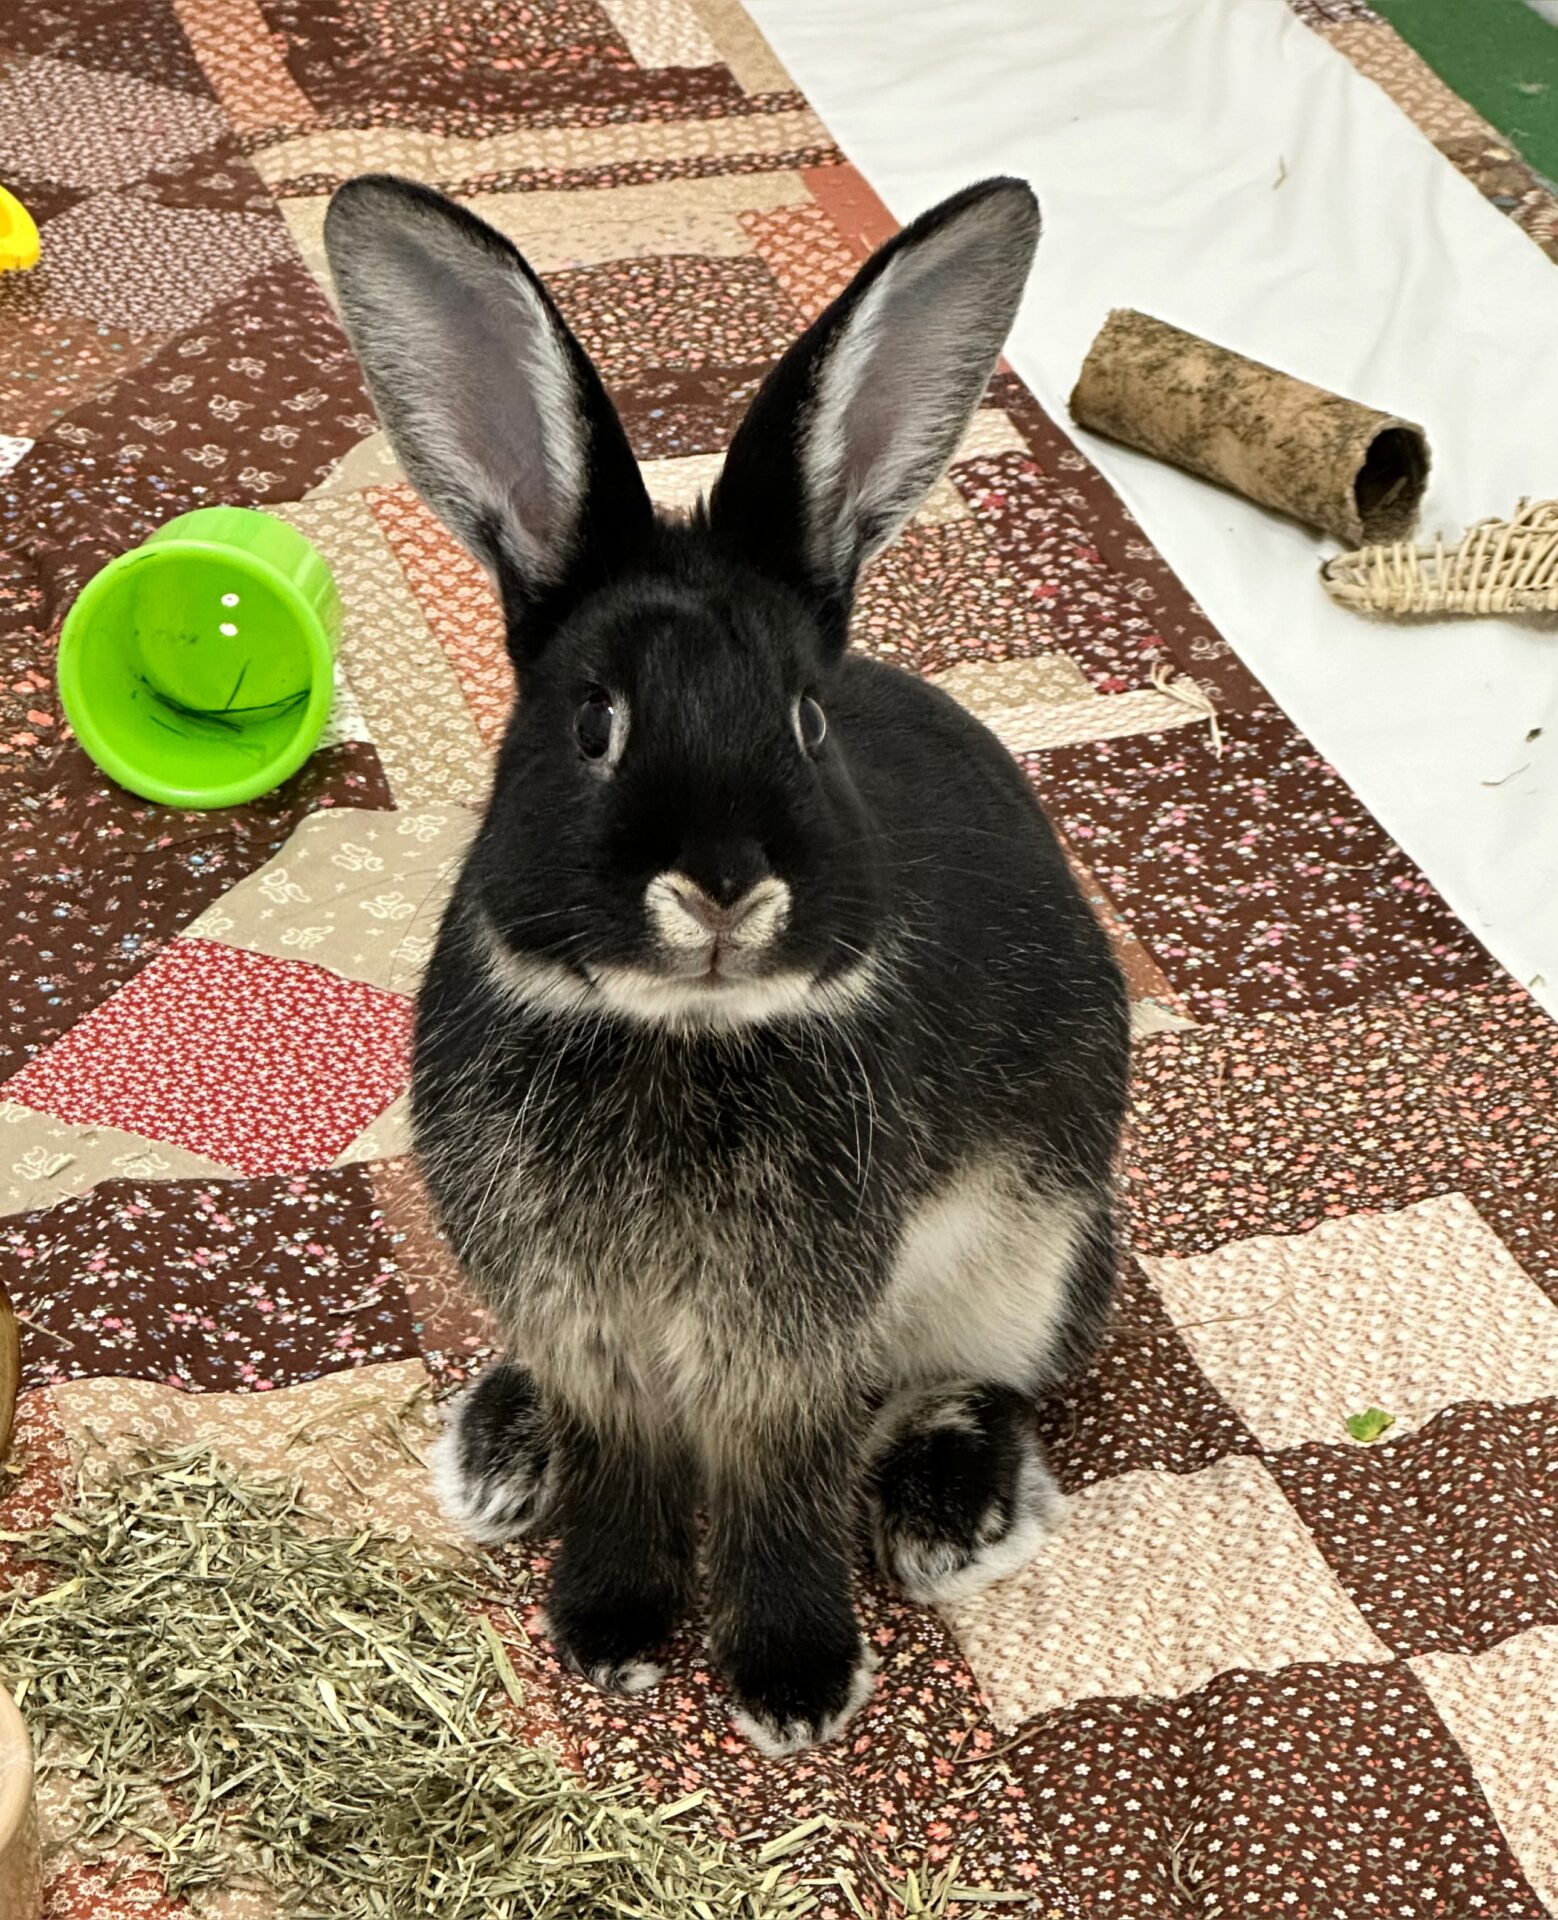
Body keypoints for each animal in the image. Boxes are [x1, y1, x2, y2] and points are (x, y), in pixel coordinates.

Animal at [326, 176, 1129, 1758]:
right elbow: (623, 1463)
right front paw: (610, 1629)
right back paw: (502, 1454)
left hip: (1041, 1243)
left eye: (809, 723)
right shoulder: (583, 1329)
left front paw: (790, 1682)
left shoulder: (792, 1344)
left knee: (999, 1377)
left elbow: (778, 1487)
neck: (674, 1035)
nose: (720, 887)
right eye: (592, 723)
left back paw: (950, 1509)